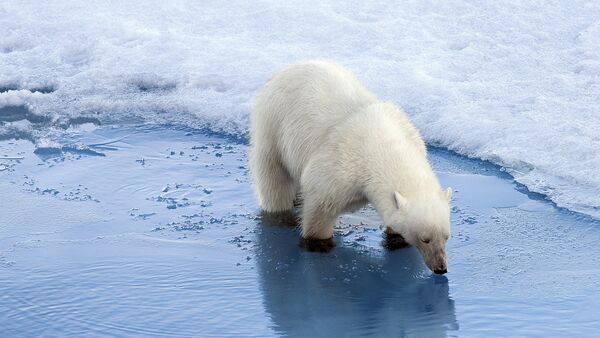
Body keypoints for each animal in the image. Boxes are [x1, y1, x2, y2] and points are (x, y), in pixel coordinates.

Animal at [248, 59, 450, 274]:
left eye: (446, 236)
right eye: (425, 239)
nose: (441, 267)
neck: (382, 142)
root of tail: (285, 70)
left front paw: (396, 238)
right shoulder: (340, 165)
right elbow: (320, 207)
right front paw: (319, 243)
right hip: (273, 127)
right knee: (275, 181)